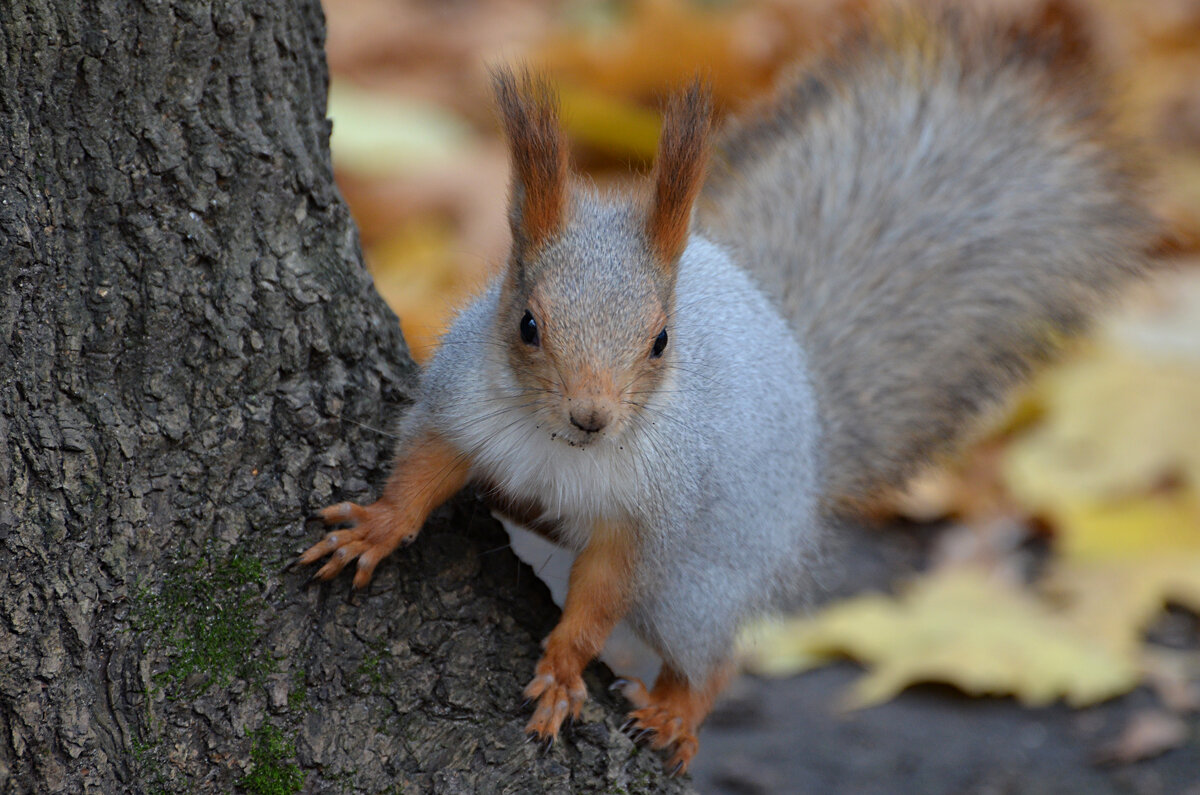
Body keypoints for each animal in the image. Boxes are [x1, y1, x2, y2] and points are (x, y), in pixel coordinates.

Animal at [297, 4, 1142, 778]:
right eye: (528, 325)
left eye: (662, 340)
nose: (591, 417)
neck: (556, 448)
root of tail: (812, 440)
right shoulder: (463, 407)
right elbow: (424, 470)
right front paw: (374, 530)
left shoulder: (646, 512)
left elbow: (600, 596)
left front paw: (565, 671)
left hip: (700, 584)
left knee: (714, 655)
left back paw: (677, 711)